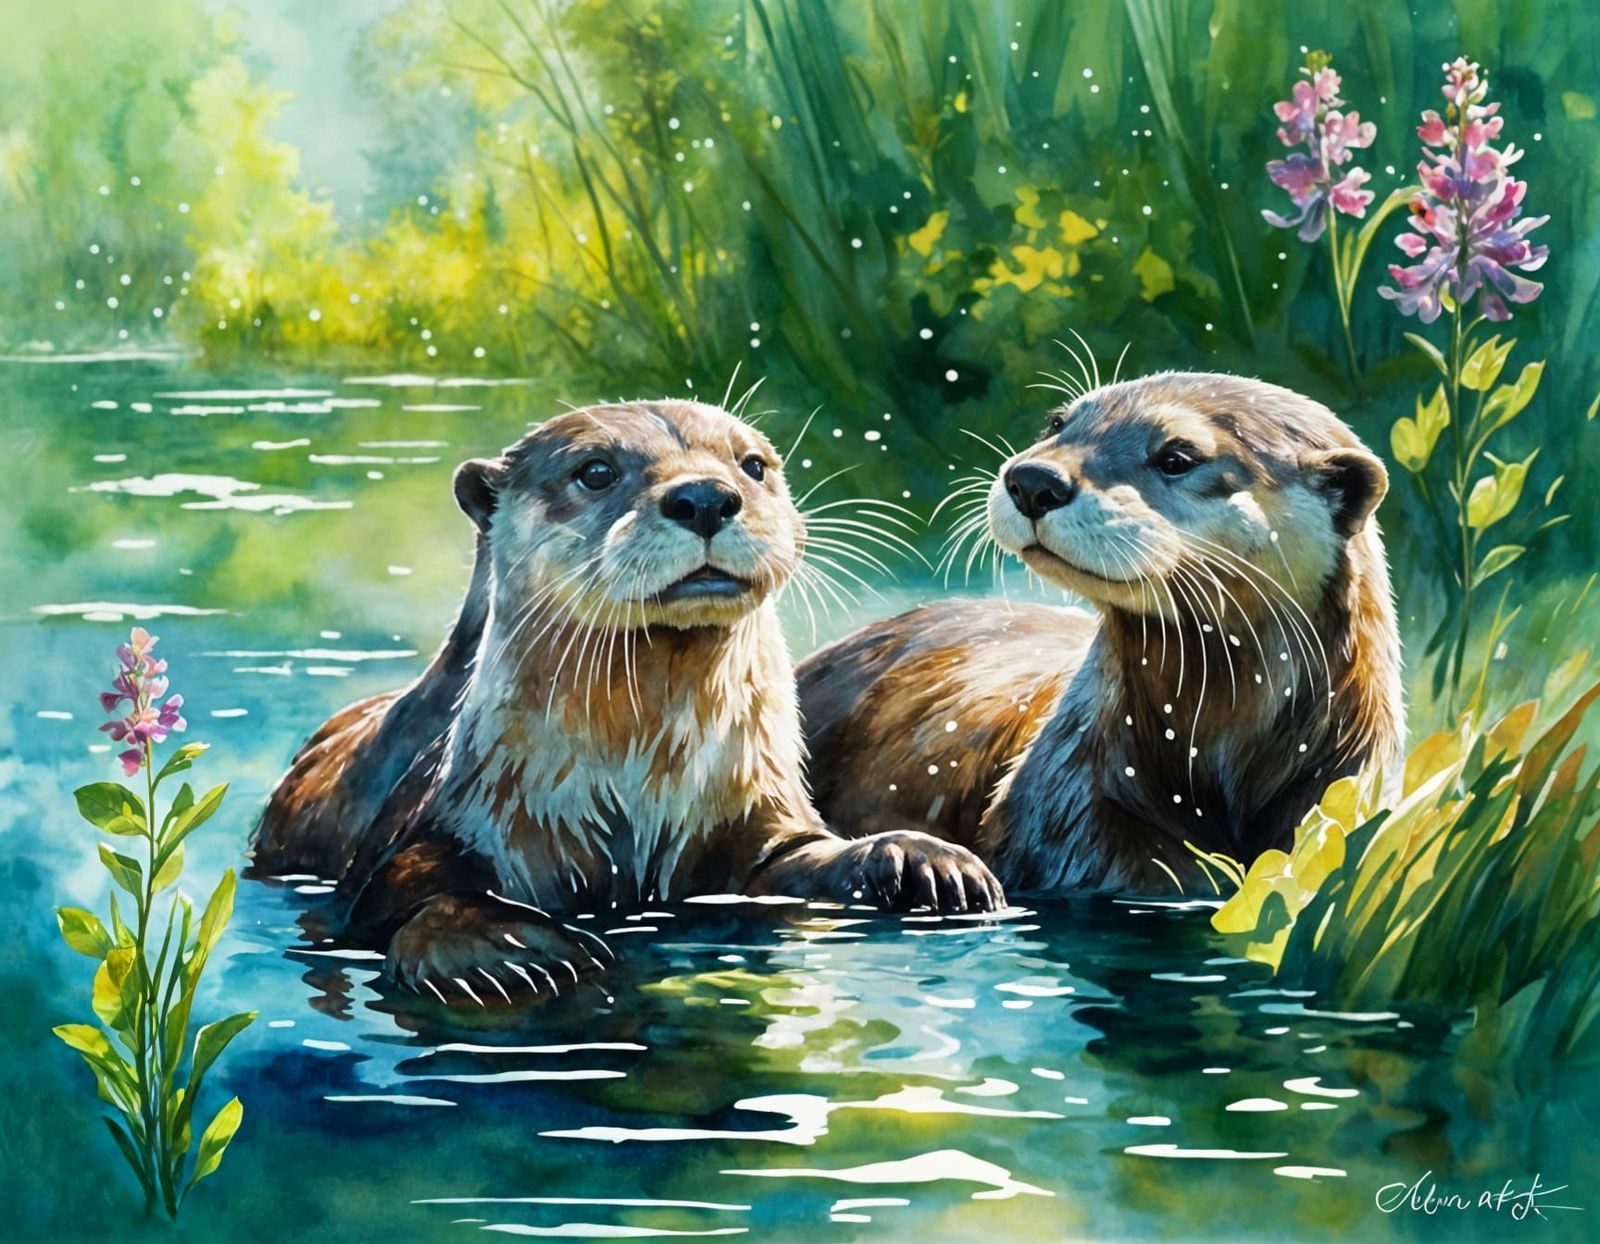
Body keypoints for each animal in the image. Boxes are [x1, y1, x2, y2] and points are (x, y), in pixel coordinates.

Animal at [252, 399, 1003, 1004]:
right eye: (596, 471)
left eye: (753, 465)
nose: (706, 497)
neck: (639, 787)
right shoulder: (451, 814)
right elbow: (405, 893)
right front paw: (510, 949)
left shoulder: (749, 813)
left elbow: (799, 856)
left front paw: (924, 859)